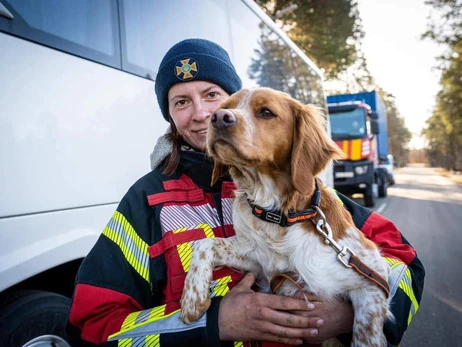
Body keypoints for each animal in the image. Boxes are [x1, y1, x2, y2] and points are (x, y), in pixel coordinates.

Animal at [179, 88, 392, 346]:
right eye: (225, 107)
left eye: (266, 112)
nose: (218, 118)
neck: (279, 214)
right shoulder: (257, 261)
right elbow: (203, 243)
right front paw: (192, 298)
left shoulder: (373, 278)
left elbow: (365, 335)